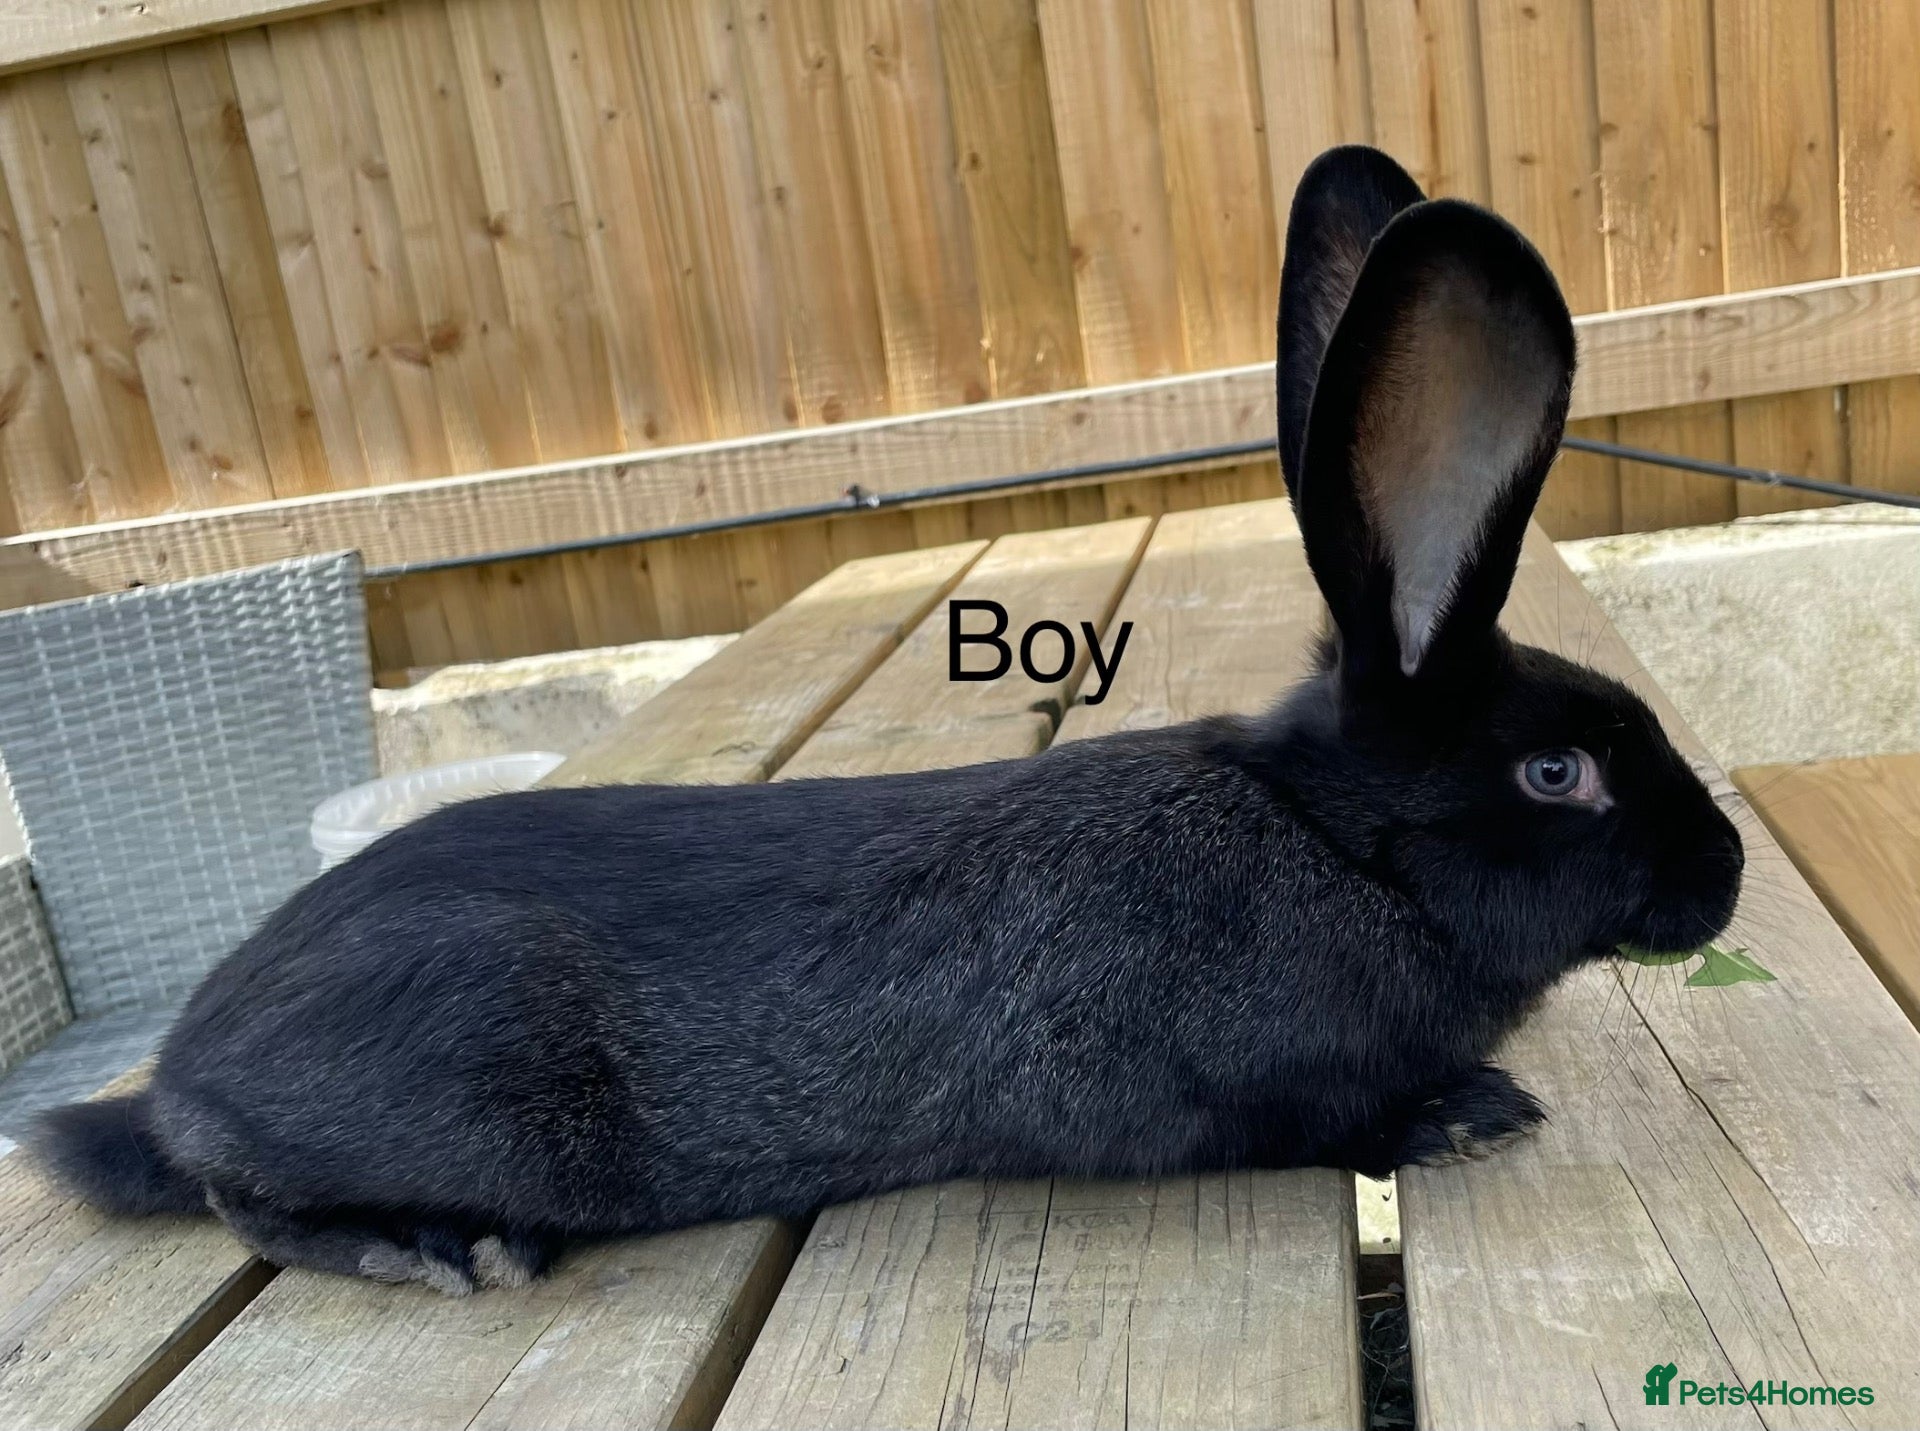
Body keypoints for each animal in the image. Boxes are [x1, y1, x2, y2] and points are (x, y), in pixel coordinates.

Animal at [33, 145, 1744, 1296]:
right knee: (234, 1194)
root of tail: (179, 1068)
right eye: (1558, 768)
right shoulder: (1239, 1090)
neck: (1333, 844)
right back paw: (437, 1244)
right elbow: (1337, 1118)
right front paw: (1476, 1111)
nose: (1725, 875)